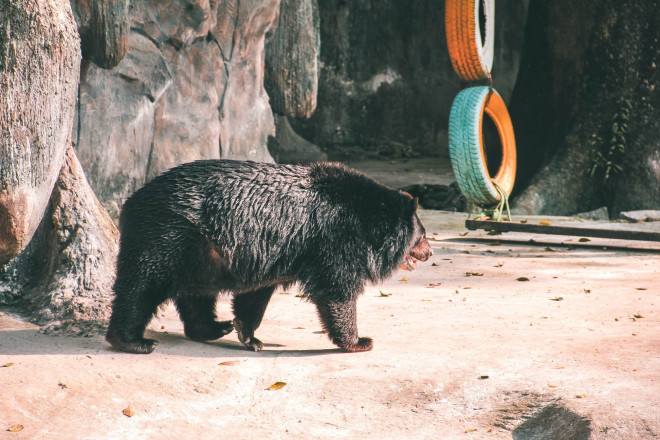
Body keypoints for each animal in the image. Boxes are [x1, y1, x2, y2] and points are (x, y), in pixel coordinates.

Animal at [105, 161, 430, 354]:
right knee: (143, 285)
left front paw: (248, 335)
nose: (429, 253)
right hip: (168, 234)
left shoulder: (276, 252)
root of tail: (131, 202)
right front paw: (360, 341)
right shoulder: (335, 239)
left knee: (195, 294)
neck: (367, 219)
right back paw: (133, 340)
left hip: (201, 252)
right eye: (422, 235)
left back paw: (215, 327)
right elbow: (337, 289)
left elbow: (255, 295)